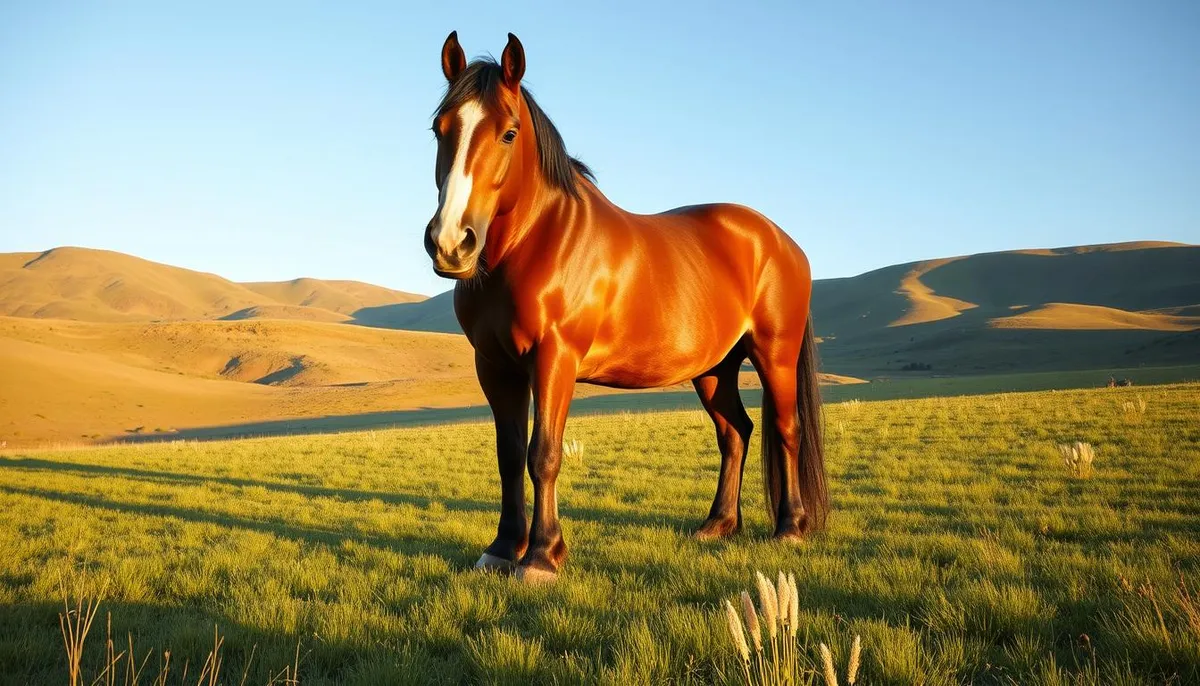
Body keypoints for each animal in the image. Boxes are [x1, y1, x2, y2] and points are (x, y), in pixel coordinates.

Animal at [424, 31, 828, 583]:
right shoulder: (495, 366)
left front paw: (541, 556)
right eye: (439, 129)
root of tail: (782, 241)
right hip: (714, 368)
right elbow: (508, 456)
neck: (537, 242)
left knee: (786, 430)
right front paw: (503, 549)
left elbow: (542, 454)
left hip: (775, 355)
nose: (450, 244)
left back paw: (790, 529)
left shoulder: (554, 360)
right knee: (735, 433)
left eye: (508, 133)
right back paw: (716, 525)